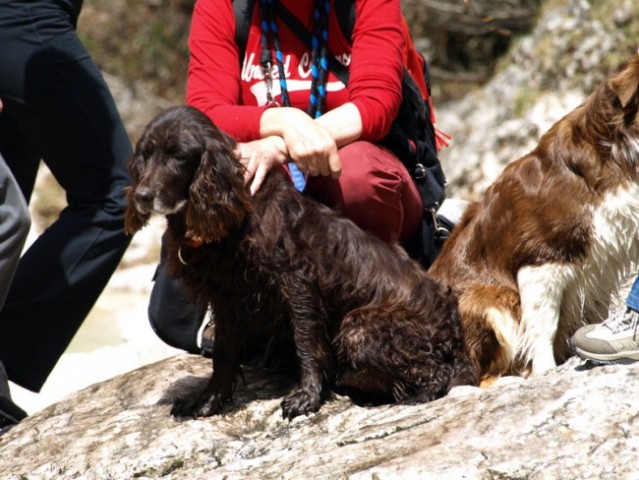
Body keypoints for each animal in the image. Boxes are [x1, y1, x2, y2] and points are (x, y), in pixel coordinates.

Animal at [428, 54, 639, 380]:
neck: (615, 147)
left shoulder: (600, 262)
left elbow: (593, 310)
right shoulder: (541, 259)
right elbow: (544, 325)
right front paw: (545, 370)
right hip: (490, 298)